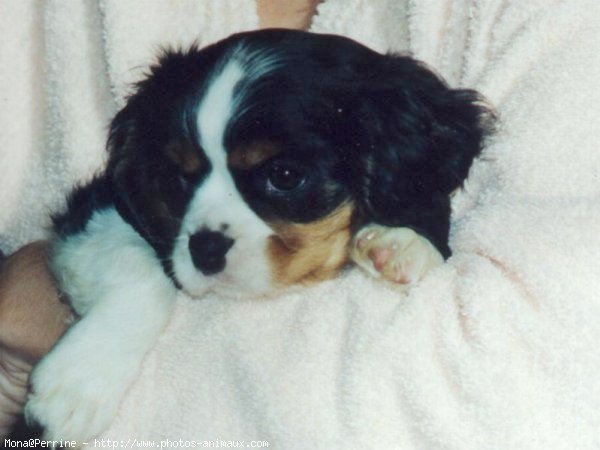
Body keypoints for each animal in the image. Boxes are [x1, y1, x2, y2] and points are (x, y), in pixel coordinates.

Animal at [24, 29, 492, 442]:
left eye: (284, 176)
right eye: (179, 177)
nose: (205, 250)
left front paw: (403, 242)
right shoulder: (96, 209)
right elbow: (144, 273)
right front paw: (78, 380)